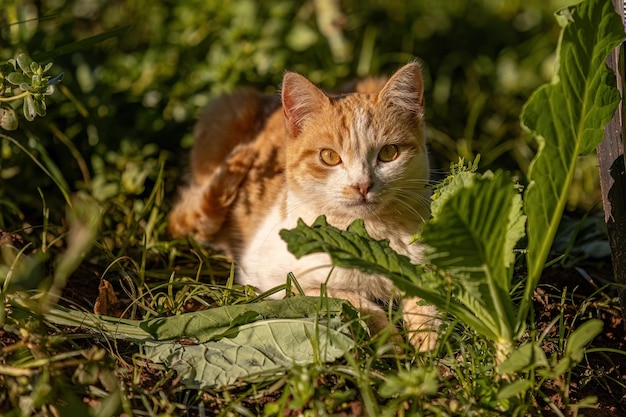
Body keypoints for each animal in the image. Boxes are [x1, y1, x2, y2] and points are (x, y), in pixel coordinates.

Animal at [168, 61, 436, 348]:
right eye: (329, 156)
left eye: (388, 153)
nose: (362, 185)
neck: (367, 237)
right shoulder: (275, 280)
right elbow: (350, 300)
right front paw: (392, 342)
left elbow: (427, 302)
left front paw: (427, 340)